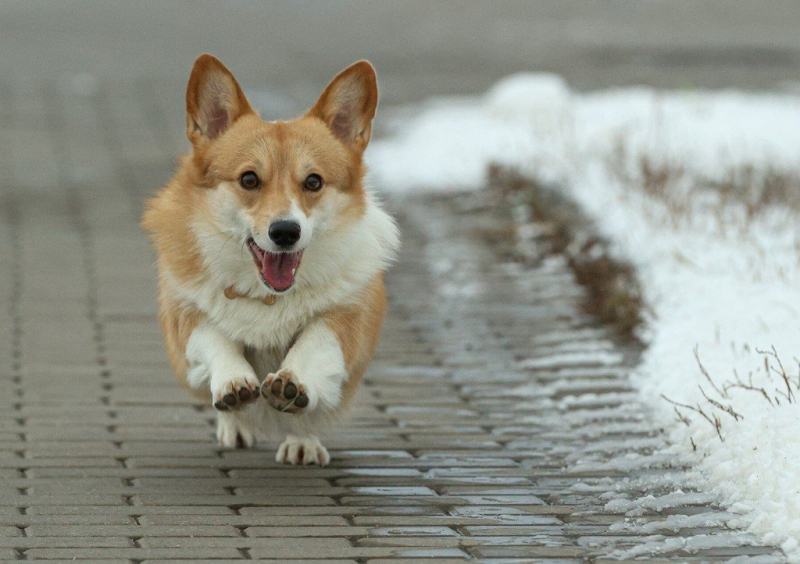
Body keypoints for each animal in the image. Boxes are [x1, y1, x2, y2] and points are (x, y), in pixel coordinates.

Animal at [144, 55, 400, 464]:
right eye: (249, 179)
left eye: (313, 182)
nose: (285, 232)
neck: (267, 295)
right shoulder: (184, 317)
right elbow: (215, 335)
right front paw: (234, 381)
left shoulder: (349, 319)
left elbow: (315, 339)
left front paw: (291, 383)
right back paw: (236, 426)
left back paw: (301, 441)